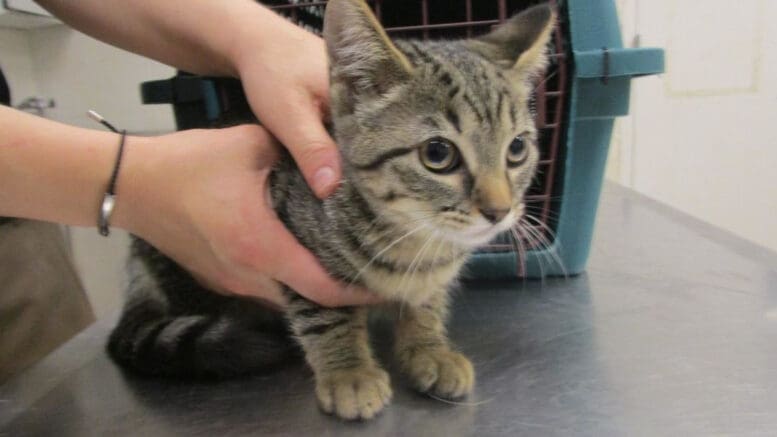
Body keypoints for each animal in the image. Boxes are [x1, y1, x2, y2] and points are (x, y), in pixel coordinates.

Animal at [109, 0, 556, 418]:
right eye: (437, 154)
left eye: (517, 148)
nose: (500, 210)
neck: (413, 238)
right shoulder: (294, 246)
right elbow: (326, 312)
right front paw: (349, 371)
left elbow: (426, 302)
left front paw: (429, 347)